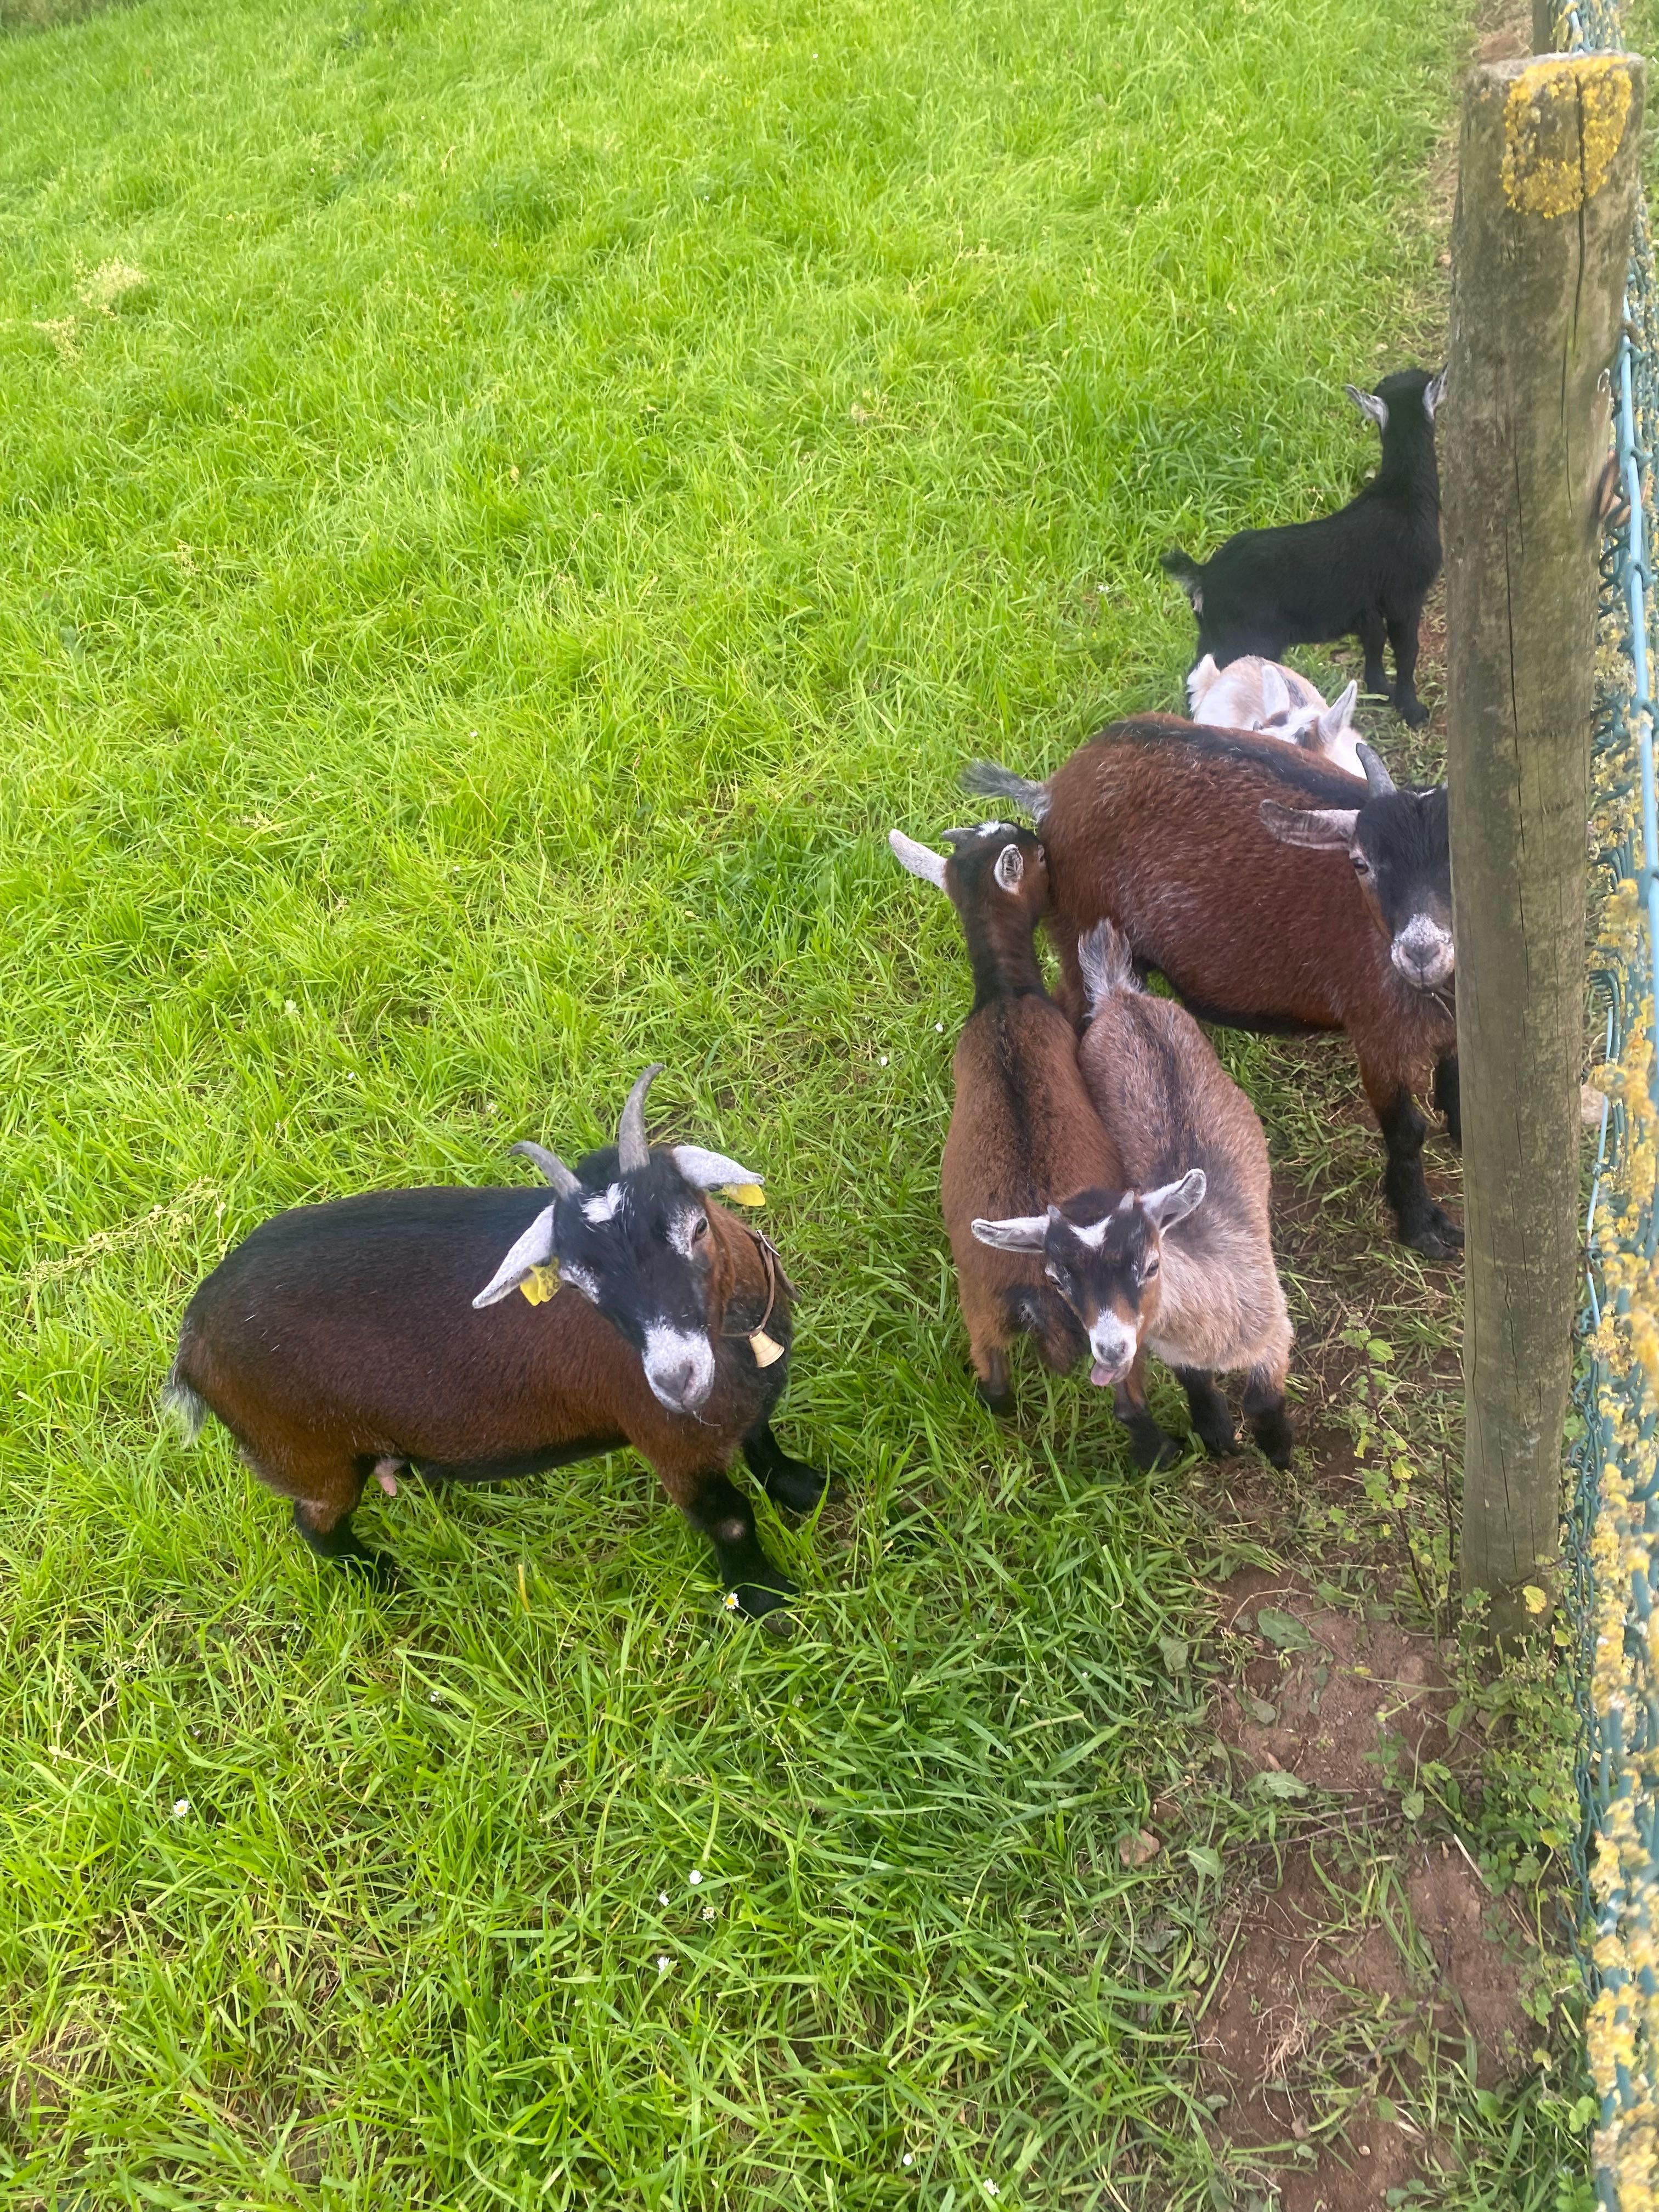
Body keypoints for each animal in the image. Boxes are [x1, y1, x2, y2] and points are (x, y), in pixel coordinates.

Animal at [884, 827, 1132, 1415]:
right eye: (1038, 856)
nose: (1042, 839)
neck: (1003, 997)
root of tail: (1035, 1284)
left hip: (981, 1308)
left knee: (993, 1378)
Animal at [969, 725, 1460, 1265]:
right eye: (1361, 863)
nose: (1421, 952)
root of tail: (1053, 793)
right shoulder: (1376, 1033)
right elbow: (1407, 1132)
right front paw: (1422, 1225)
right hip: (1078, 927)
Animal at [973, 924, 1309, 1477]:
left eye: (1152, 1265)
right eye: (1056, 1279)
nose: (1111, 1350)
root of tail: (1120, 996)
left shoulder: (1274, 1327)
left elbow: (1263, 1397)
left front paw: (1278, 1450)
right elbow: (1195, 1382)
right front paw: (1217, 1434)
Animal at [1159, 369, 1451, 725]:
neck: (1403, 494)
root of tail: (1203, 576)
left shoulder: (1366, 606)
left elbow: (1374, 642)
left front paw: (1381, 691)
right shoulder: (1405, 595)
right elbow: (1407, 650)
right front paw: (1413, 710)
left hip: (1211, 637)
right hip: (1244, 640)